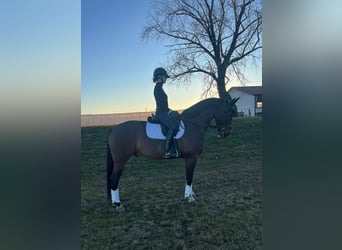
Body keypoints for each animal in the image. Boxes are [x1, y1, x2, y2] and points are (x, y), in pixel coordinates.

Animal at [106, 96, 238, 210]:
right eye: (228, 112)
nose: (226, 132)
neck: (193, 125)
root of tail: (114, 129)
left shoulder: (191, 158)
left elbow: (190, 176)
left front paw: (190, 194)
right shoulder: (191, 157)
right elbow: (189, 176)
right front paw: (189, 198)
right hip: (120, 161)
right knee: (114, 178)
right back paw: (118, 204)